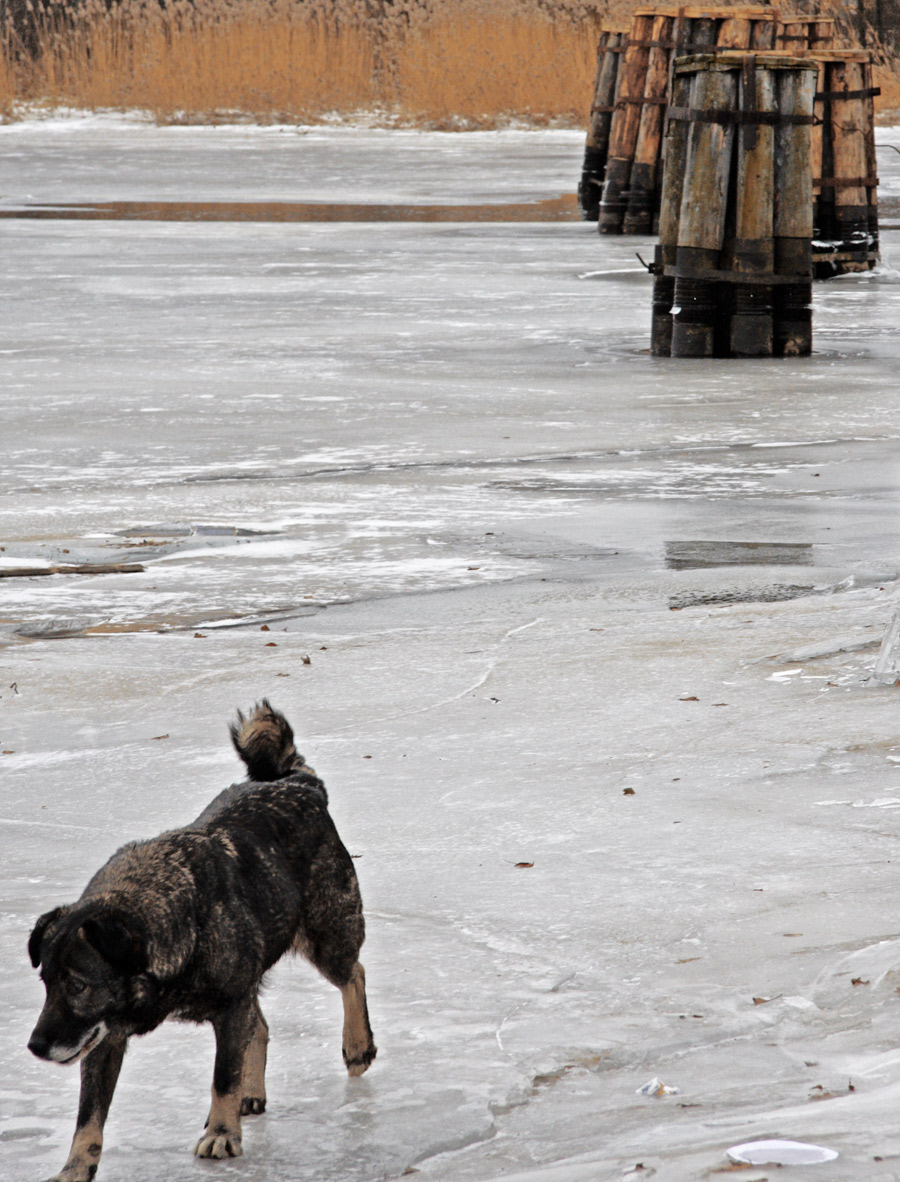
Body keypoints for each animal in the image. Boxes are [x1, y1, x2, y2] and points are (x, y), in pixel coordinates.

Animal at [26, 699, 373, 1182]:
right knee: (261, 1025)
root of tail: (296, 781)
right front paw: (76, 1167)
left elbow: (222, 1077)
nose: (35, 1047)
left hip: (327, 932)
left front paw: (223, 1134)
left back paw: (357, 1046)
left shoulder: (228, 1006)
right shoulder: (105, 1039)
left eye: (77, 985)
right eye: (45, 984)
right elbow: (88, 1116)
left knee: (352, 974)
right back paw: (253, 1091)